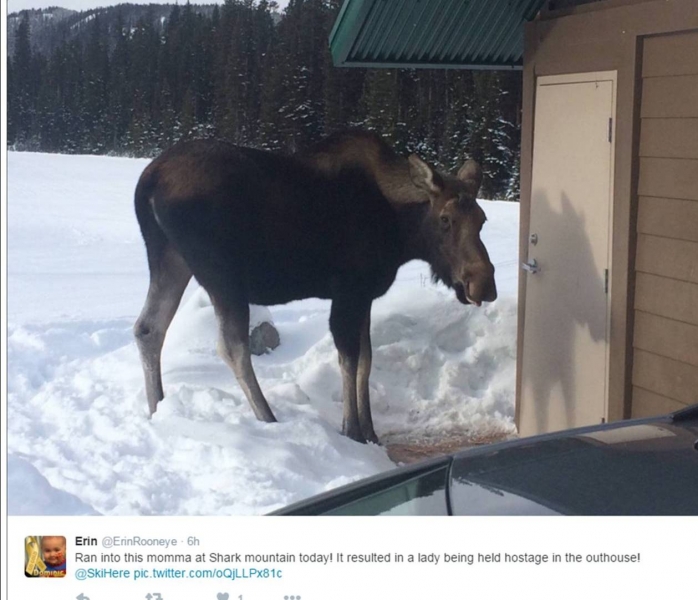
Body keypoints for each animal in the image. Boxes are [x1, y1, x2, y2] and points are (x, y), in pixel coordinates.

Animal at [133, 130, 497, 444]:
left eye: (482, 220)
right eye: (445, 219)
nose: (483, 284)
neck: (400, 232)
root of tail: (147, 182)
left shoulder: (364, 295)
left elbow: (366, 358)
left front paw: (371, 432)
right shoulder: (349, 291)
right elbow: (350, 359)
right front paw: (353, 431)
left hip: (169, 258)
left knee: (149, 328)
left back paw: (157, 410)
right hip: (220, 274)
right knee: (232, 346)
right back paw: (268, 419)